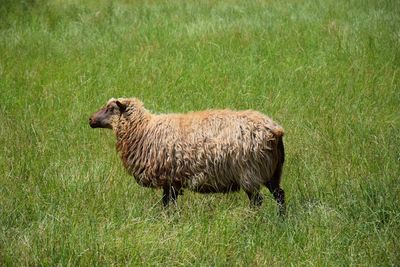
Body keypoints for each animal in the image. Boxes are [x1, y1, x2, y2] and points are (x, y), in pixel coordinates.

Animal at [89, 98, 286, 216]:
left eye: (110, 108)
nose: (90, 120)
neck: (143, 130)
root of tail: (275, 130)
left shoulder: (169, 179)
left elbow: (167, 204)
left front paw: (168, 220)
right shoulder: (172, 182)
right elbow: (168, 203)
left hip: (250, 172)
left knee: (257, 201)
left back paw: (252, 220)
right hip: (272, 171)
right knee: (279, 195)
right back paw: (281, 219)